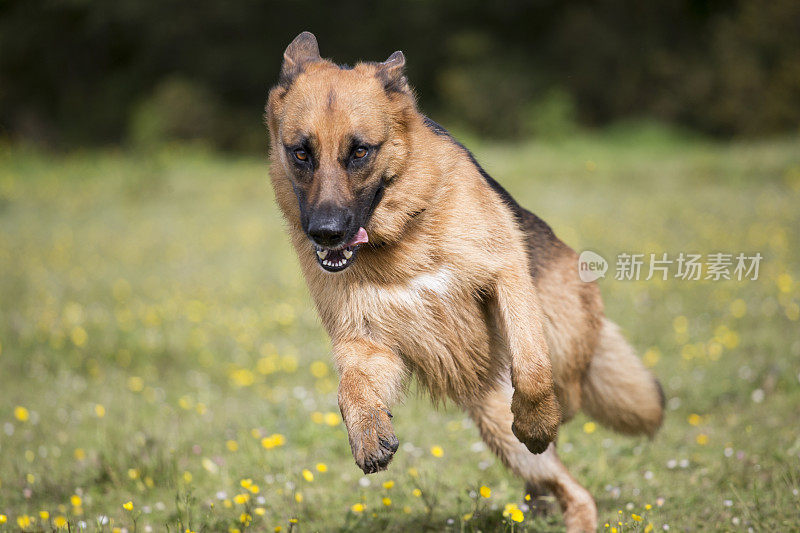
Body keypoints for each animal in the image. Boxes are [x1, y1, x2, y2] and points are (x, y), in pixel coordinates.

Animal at [266, 31, 664, 528]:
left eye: (359, 152)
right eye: (301, 152)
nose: (325, 232)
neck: (403, 238)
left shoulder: (506, 276)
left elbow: (531, 366)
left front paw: (536, 420)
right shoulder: (367, 340)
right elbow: (350, 389)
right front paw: (368, 433)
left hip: (552, 371)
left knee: (566, 426)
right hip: (497, 426)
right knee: (570, 489)